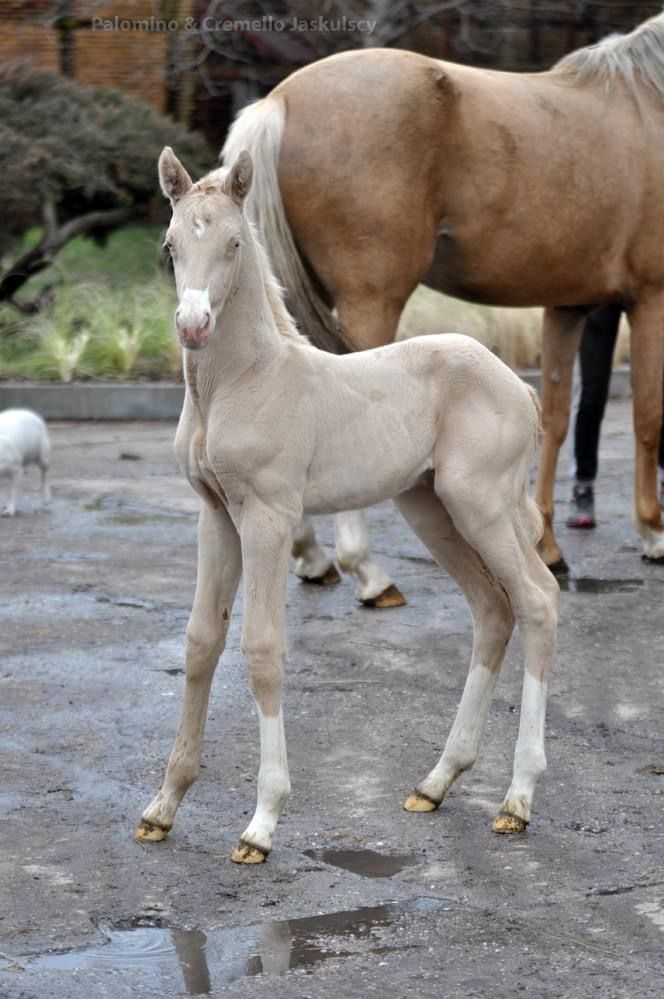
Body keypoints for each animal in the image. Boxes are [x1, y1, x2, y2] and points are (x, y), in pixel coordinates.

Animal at [136, 150, 560, 868]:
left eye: (233, 243)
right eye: (170, 247)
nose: (193, 326)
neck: (243, 380)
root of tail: (518, 386)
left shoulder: (269, 516)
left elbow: (261, 649)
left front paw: (261, 823)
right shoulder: (215, 515)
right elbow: (200, 642)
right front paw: (162, 808)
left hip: (482, 505)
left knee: (535, 600)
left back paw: (518, 798)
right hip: (432, 509)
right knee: (492, 609)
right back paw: (436, 782)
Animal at [223, 7, 664, 576]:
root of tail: (278, 101)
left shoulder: (568, 306)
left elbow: (555, 417)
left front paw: (546, 543)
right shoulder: (651, 299)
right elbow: (647, 413)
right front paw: (654, 532)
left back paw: (312, 554)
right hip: (371, 301)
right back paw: (365, 568)